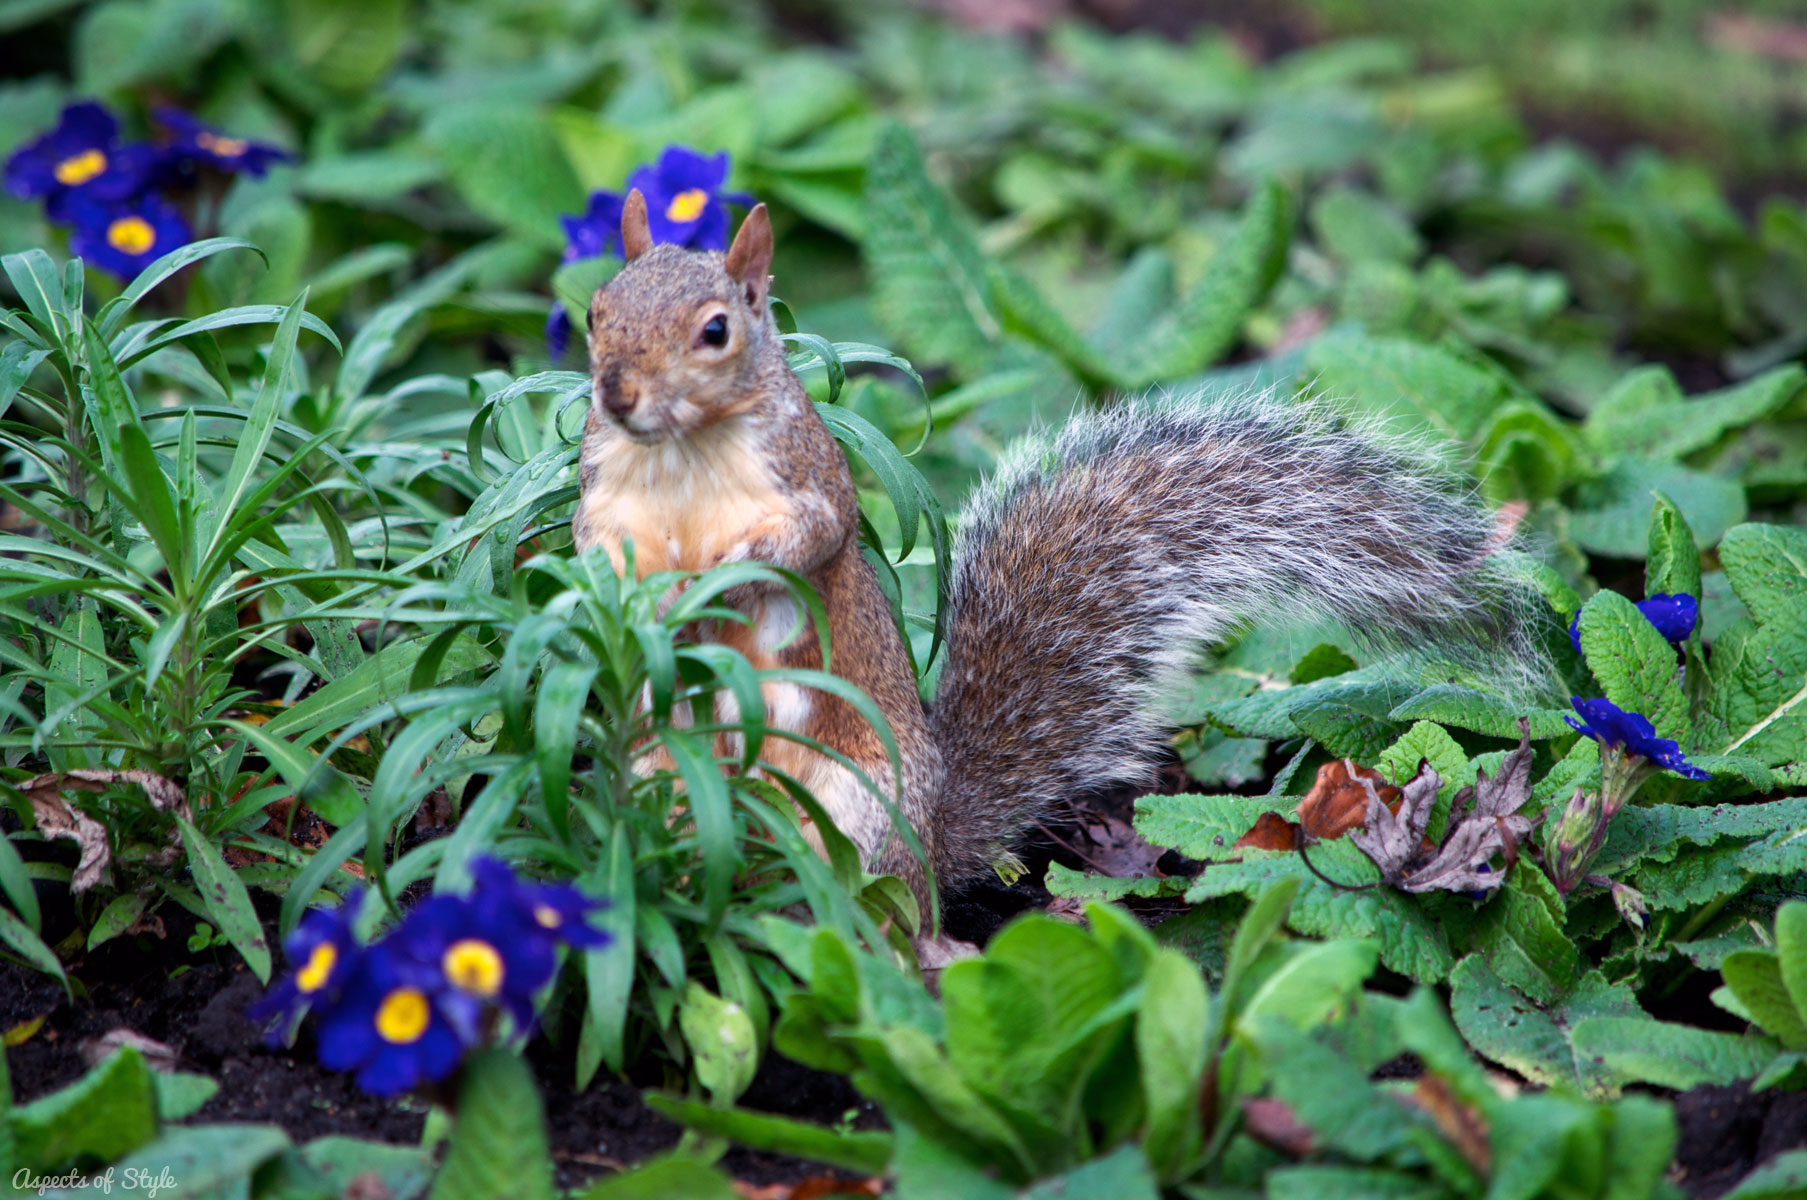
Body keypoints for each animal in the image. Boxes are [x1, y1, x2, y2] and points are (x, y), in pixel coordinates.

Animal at [573, 191, 1541, 924]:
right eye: (594, 312)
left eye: (715, 331)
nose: (616, 393)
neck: (684, 452)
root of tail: (932, 843)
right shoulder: (604, 491)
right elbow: (591, 547)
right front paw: (627, 594)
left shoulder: (810, 478)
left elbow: (810, 540)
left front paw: (723, 571)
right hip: (665, 779)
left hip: (853, 814)